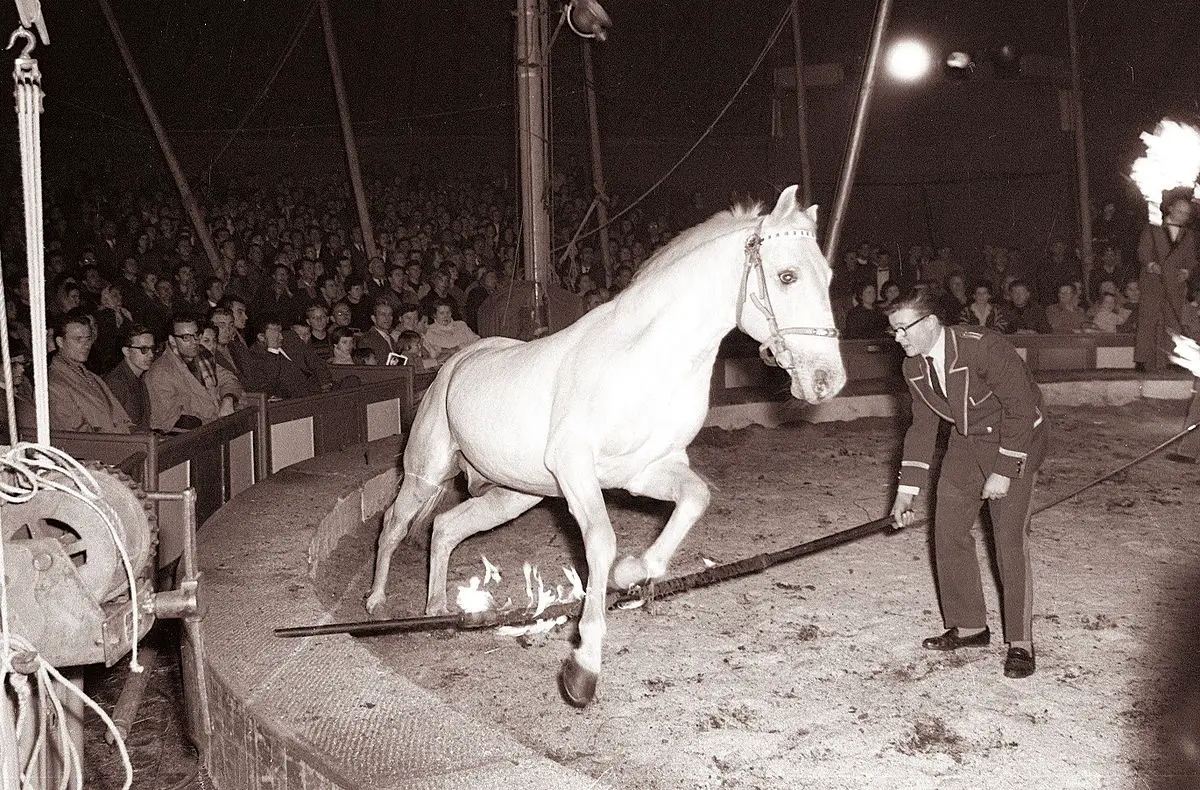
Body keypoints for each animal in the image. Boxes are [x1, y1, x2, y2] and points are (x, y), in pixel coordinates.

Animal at [364, 186, 844, 705]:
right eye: (787, 276)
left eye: (828, 277)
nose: (827, 380)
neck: (646, 360)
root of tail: (455, 363)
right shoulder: (576, 467)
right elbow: (600, 541)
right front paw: (584, 667)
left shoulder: (645, 470)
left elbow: (694, 500)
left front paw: (631, 573)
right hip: (425, 472)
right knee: (394, 525)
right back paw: (376, 602)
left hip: (513, 495)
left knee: (447, 528)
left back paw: (437, 610)